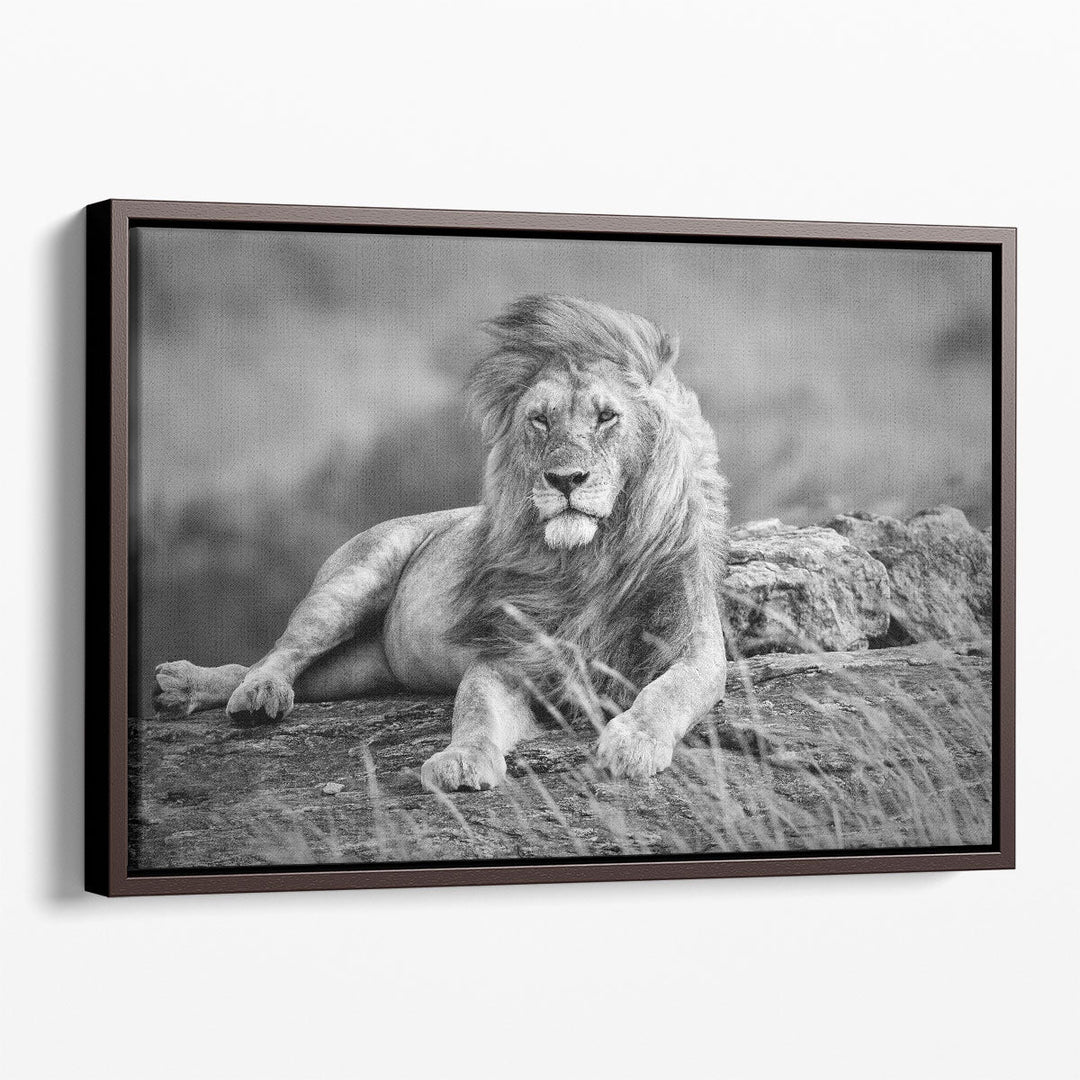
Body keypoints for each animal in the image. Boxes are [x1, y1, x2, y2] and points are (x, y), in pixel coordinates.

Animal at [153, 295, 730, 789]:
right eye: (539, 420)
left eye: (607, 416)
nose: (564, 479)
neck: (589, 561)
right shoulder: (506, 657)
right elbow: (473, 710)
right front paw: (461, 761)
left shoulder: (696, 648)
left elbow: (667, 692)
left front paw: (633, 742)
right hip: (353, 581)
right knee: (280, 652)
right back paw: (244, 692)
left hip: (361, 671)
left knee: (278, 670)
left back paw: (187, 687)